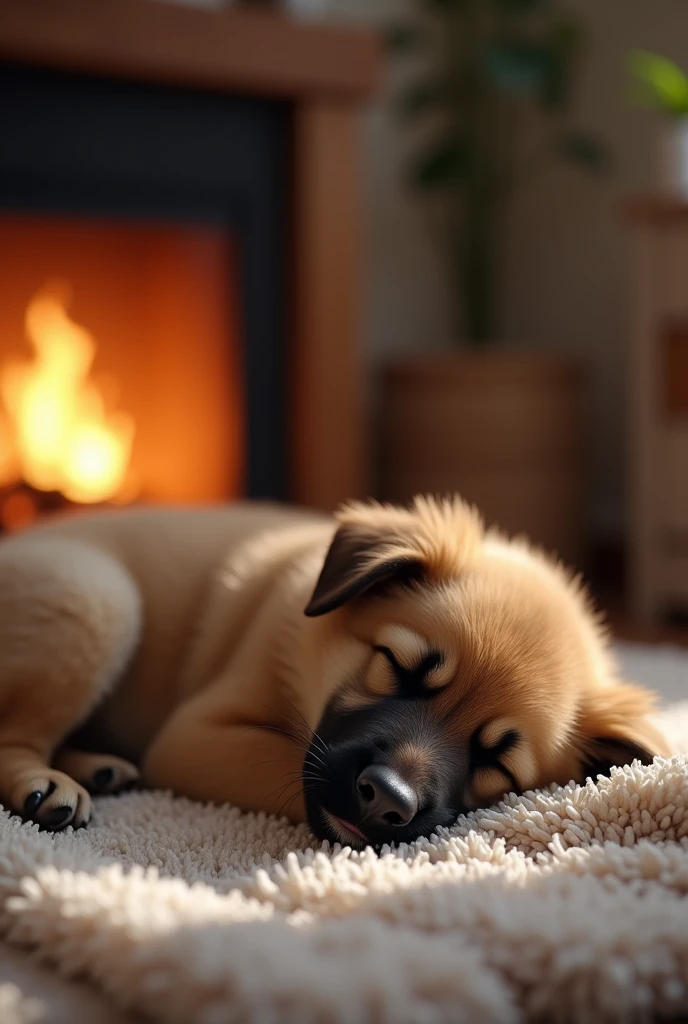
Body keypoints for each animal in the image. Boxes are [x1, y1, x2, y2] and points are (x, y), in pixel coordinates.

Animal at [0, 497, 671, 847]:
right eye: (397, 667)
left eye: (496, 762)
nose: (386, 803)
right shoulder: (195, 735)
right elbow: (290, 764)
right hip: (93, 597)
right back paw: (48, 787)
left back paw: (98, 768)